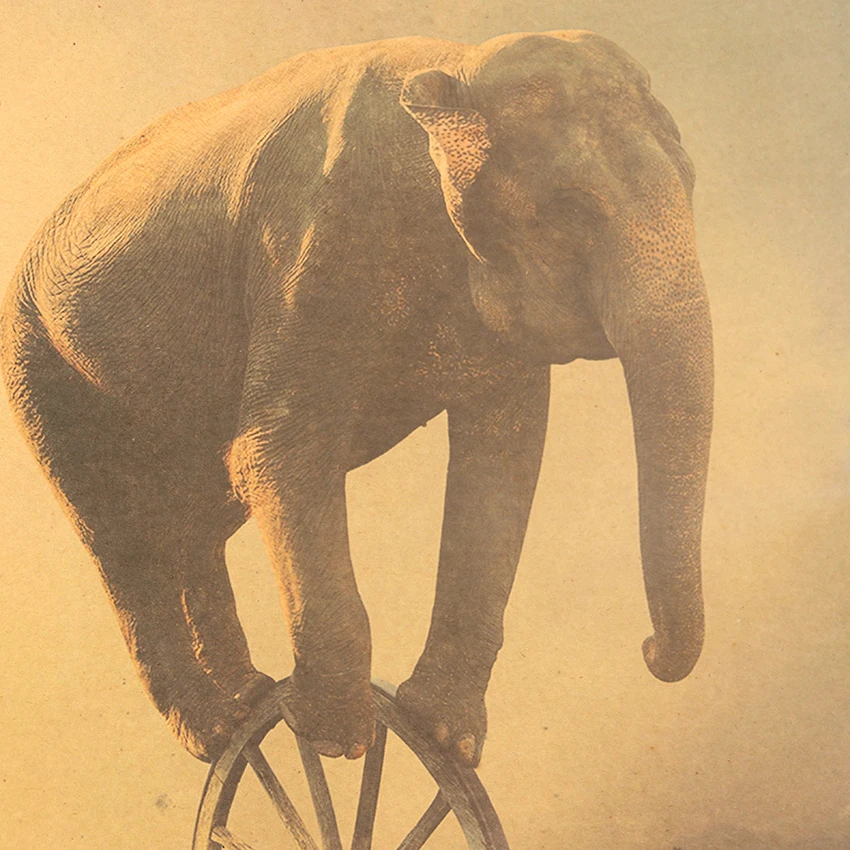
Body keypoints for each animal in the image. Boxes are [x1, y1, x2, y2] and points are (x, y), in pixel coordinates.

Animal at [1, 29, 712, 768]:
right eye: (572, 207)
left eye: (692, 184)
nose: (649, 649)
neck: (457, 66)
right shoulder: (309, 251)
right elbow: (280, 456)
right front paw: (338, 742)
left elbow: (504, 462)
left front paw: (443, 735)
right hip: (39, 363)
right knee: (121, 536)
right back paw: (217, 729)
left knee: (197, 518)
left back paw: (247, 696)